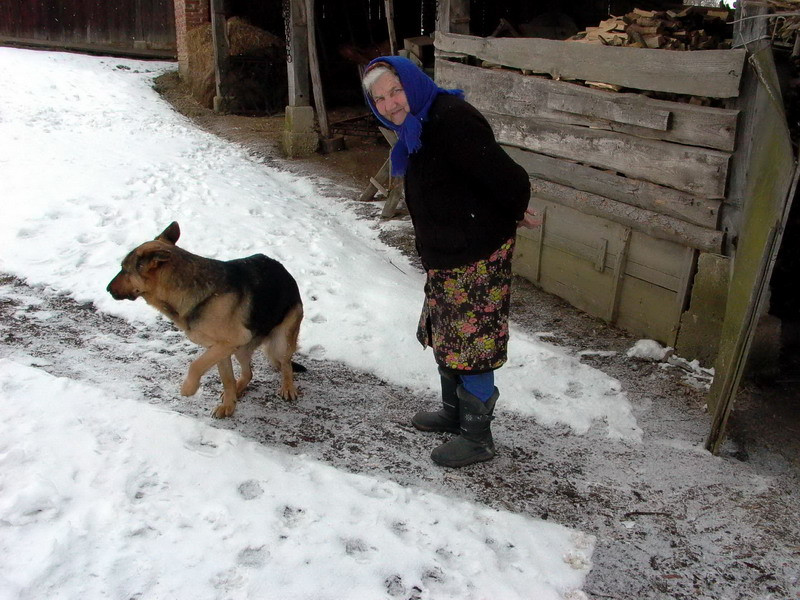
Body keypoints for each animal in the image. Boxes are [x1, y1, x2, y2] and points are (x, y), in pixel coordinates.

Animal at [108, 221, 304, 418]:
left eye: (124, 269)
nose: (107, 289)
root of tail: (286, 273)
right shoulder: (220, 348)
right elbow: (226, 378)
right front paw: (229, 405)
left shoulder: (228, 343)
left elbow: (195, 365)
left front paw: (189, 388)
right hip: (241, 350)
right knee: (249, 373)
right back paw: (239, 388)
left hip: (281, 342)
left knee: (286, 364)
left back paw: (288, 387)